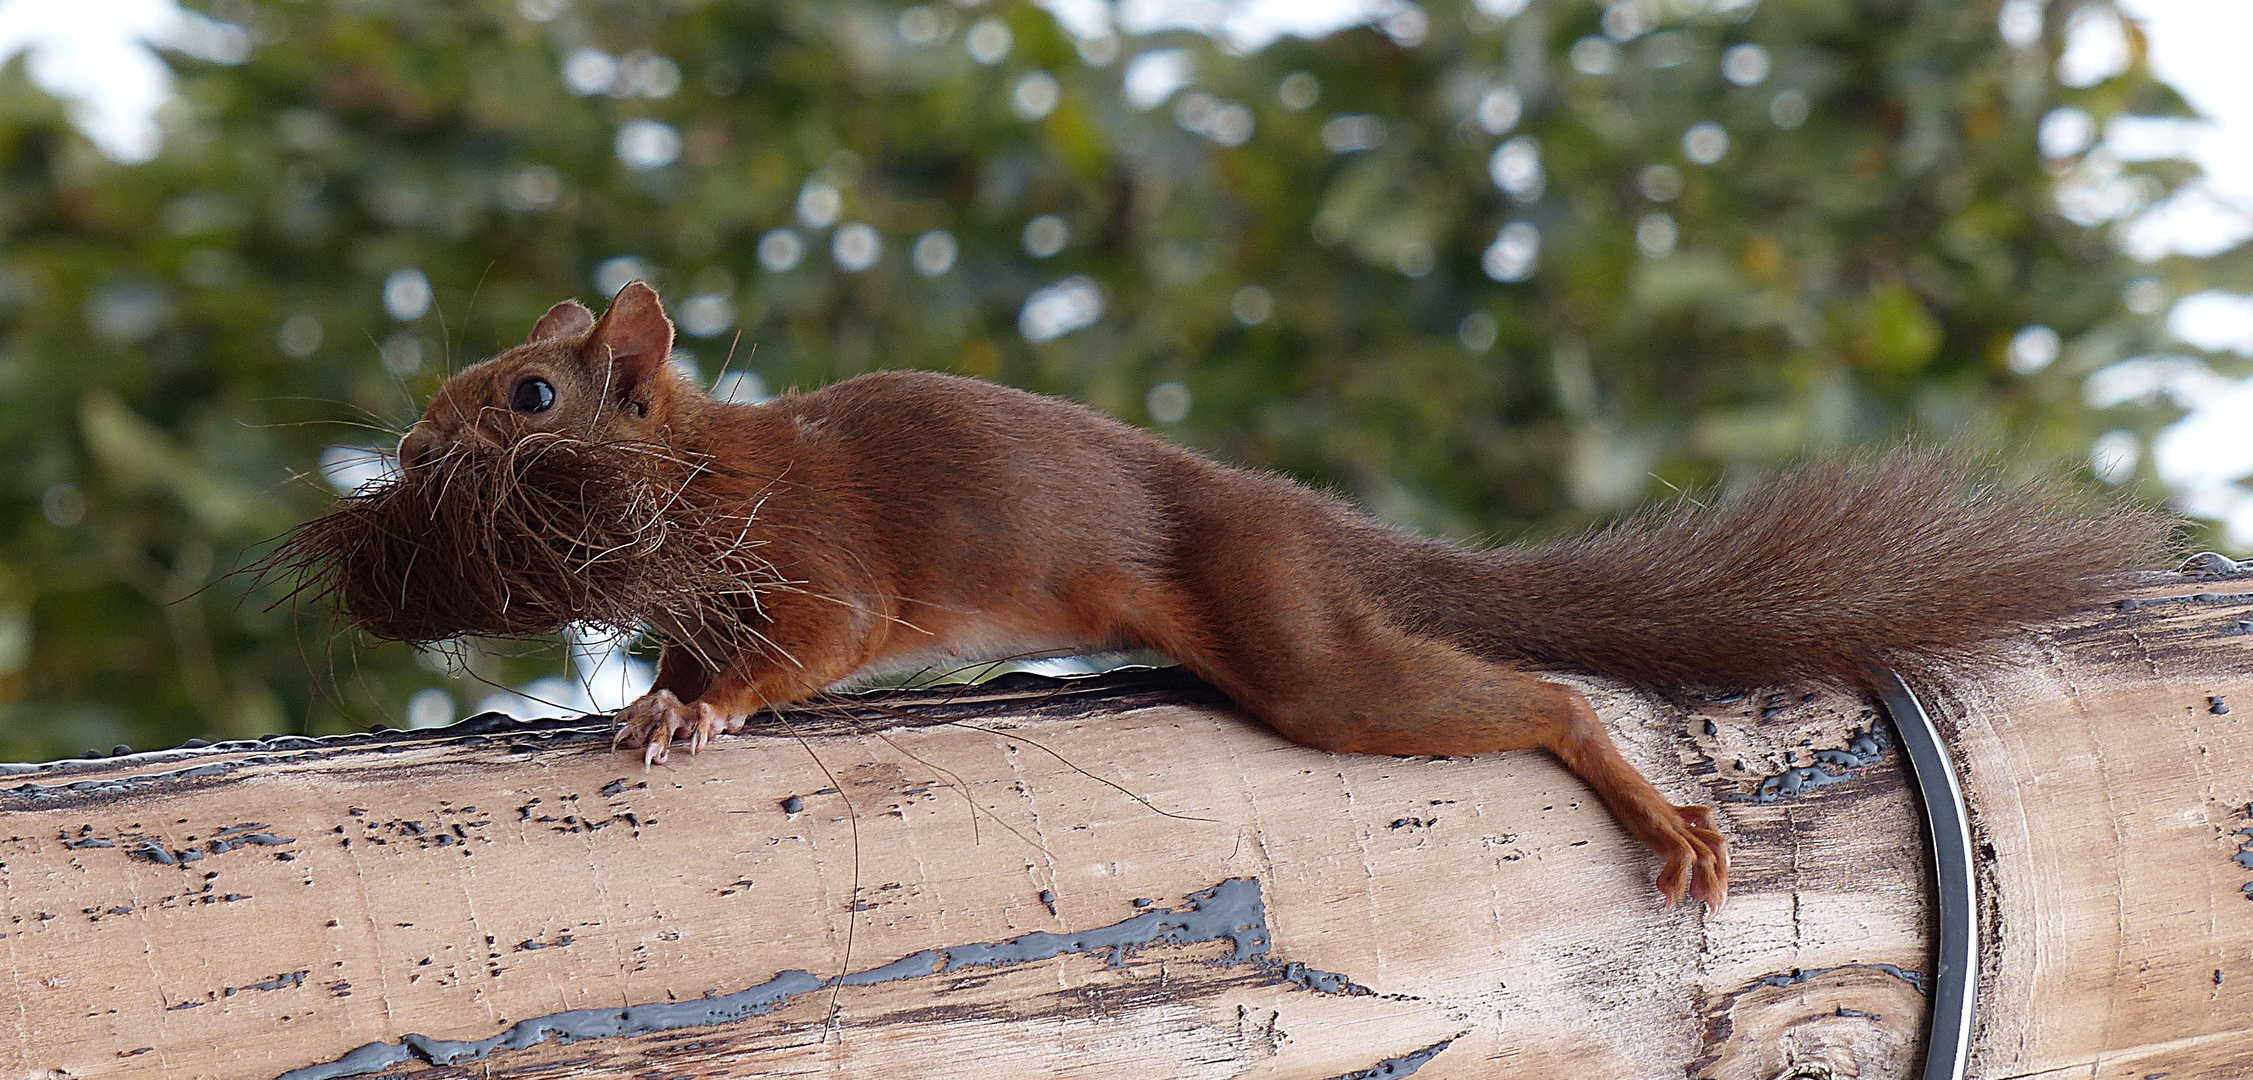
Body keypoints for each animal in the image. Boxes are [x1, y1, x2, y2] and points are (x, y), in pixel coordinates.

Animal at [401, 282, 2162, 910]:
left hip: (1293, 632)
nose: (410, 443)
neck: (694, 466)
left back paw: (1645, 803)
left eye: (529, 398)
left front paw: (693, 714)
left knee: (1538, 697)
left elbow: (806, 650)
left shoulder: (817, 553)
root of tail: (1309, 525)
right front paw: (632, 691)